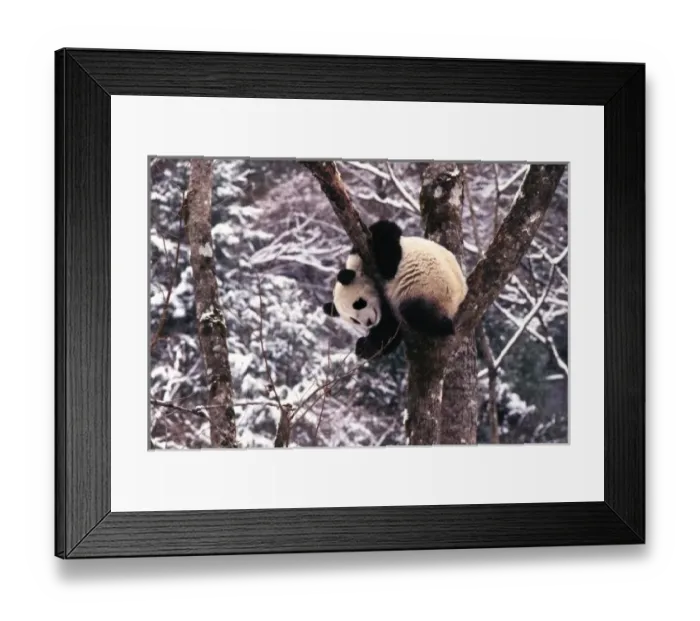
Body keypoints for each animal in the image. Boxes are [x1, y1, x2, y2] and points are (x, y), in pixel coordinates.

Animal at [323, 219, 467, 358]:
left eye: (359, 303)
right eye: (354, 320)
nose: (368, 322)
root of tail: (459, 297)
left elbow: (386, 236)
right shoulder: (386, 309)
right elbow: (389, 330)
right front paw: (364, 347)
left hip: (430, 288)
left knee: (415, 312)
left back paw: (444, 326)